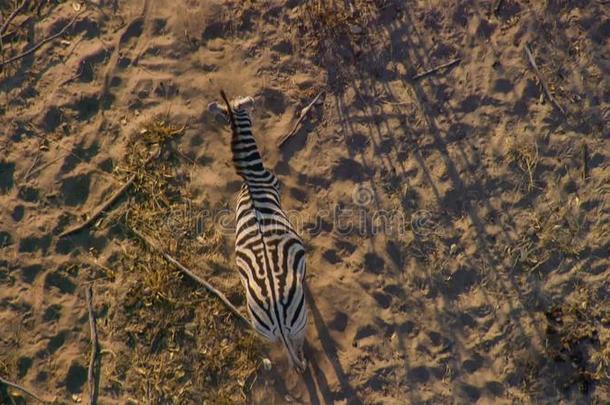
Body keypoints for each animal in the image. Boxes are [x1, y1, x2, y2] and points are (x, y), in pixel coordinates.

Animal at [208, 90, 306, 370]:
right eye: (249, 105)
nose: (256, 98)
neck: (251, 177)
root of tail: (277, 314)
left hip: (262, 328)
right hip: (300, 323)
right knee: (299, 348)